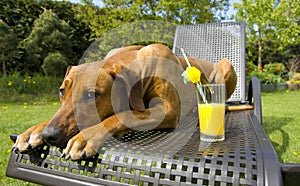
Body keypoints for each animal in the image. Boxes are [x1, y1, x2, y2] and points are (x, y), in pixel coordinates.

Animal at [12, 43, 237, 160]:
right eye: (61, 91)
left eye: (91, 95)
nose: (49, 135)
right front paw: (33, 132)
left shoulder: (168, 110)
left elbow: (123, 115)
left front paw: (85, 138)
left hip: (225, 65)